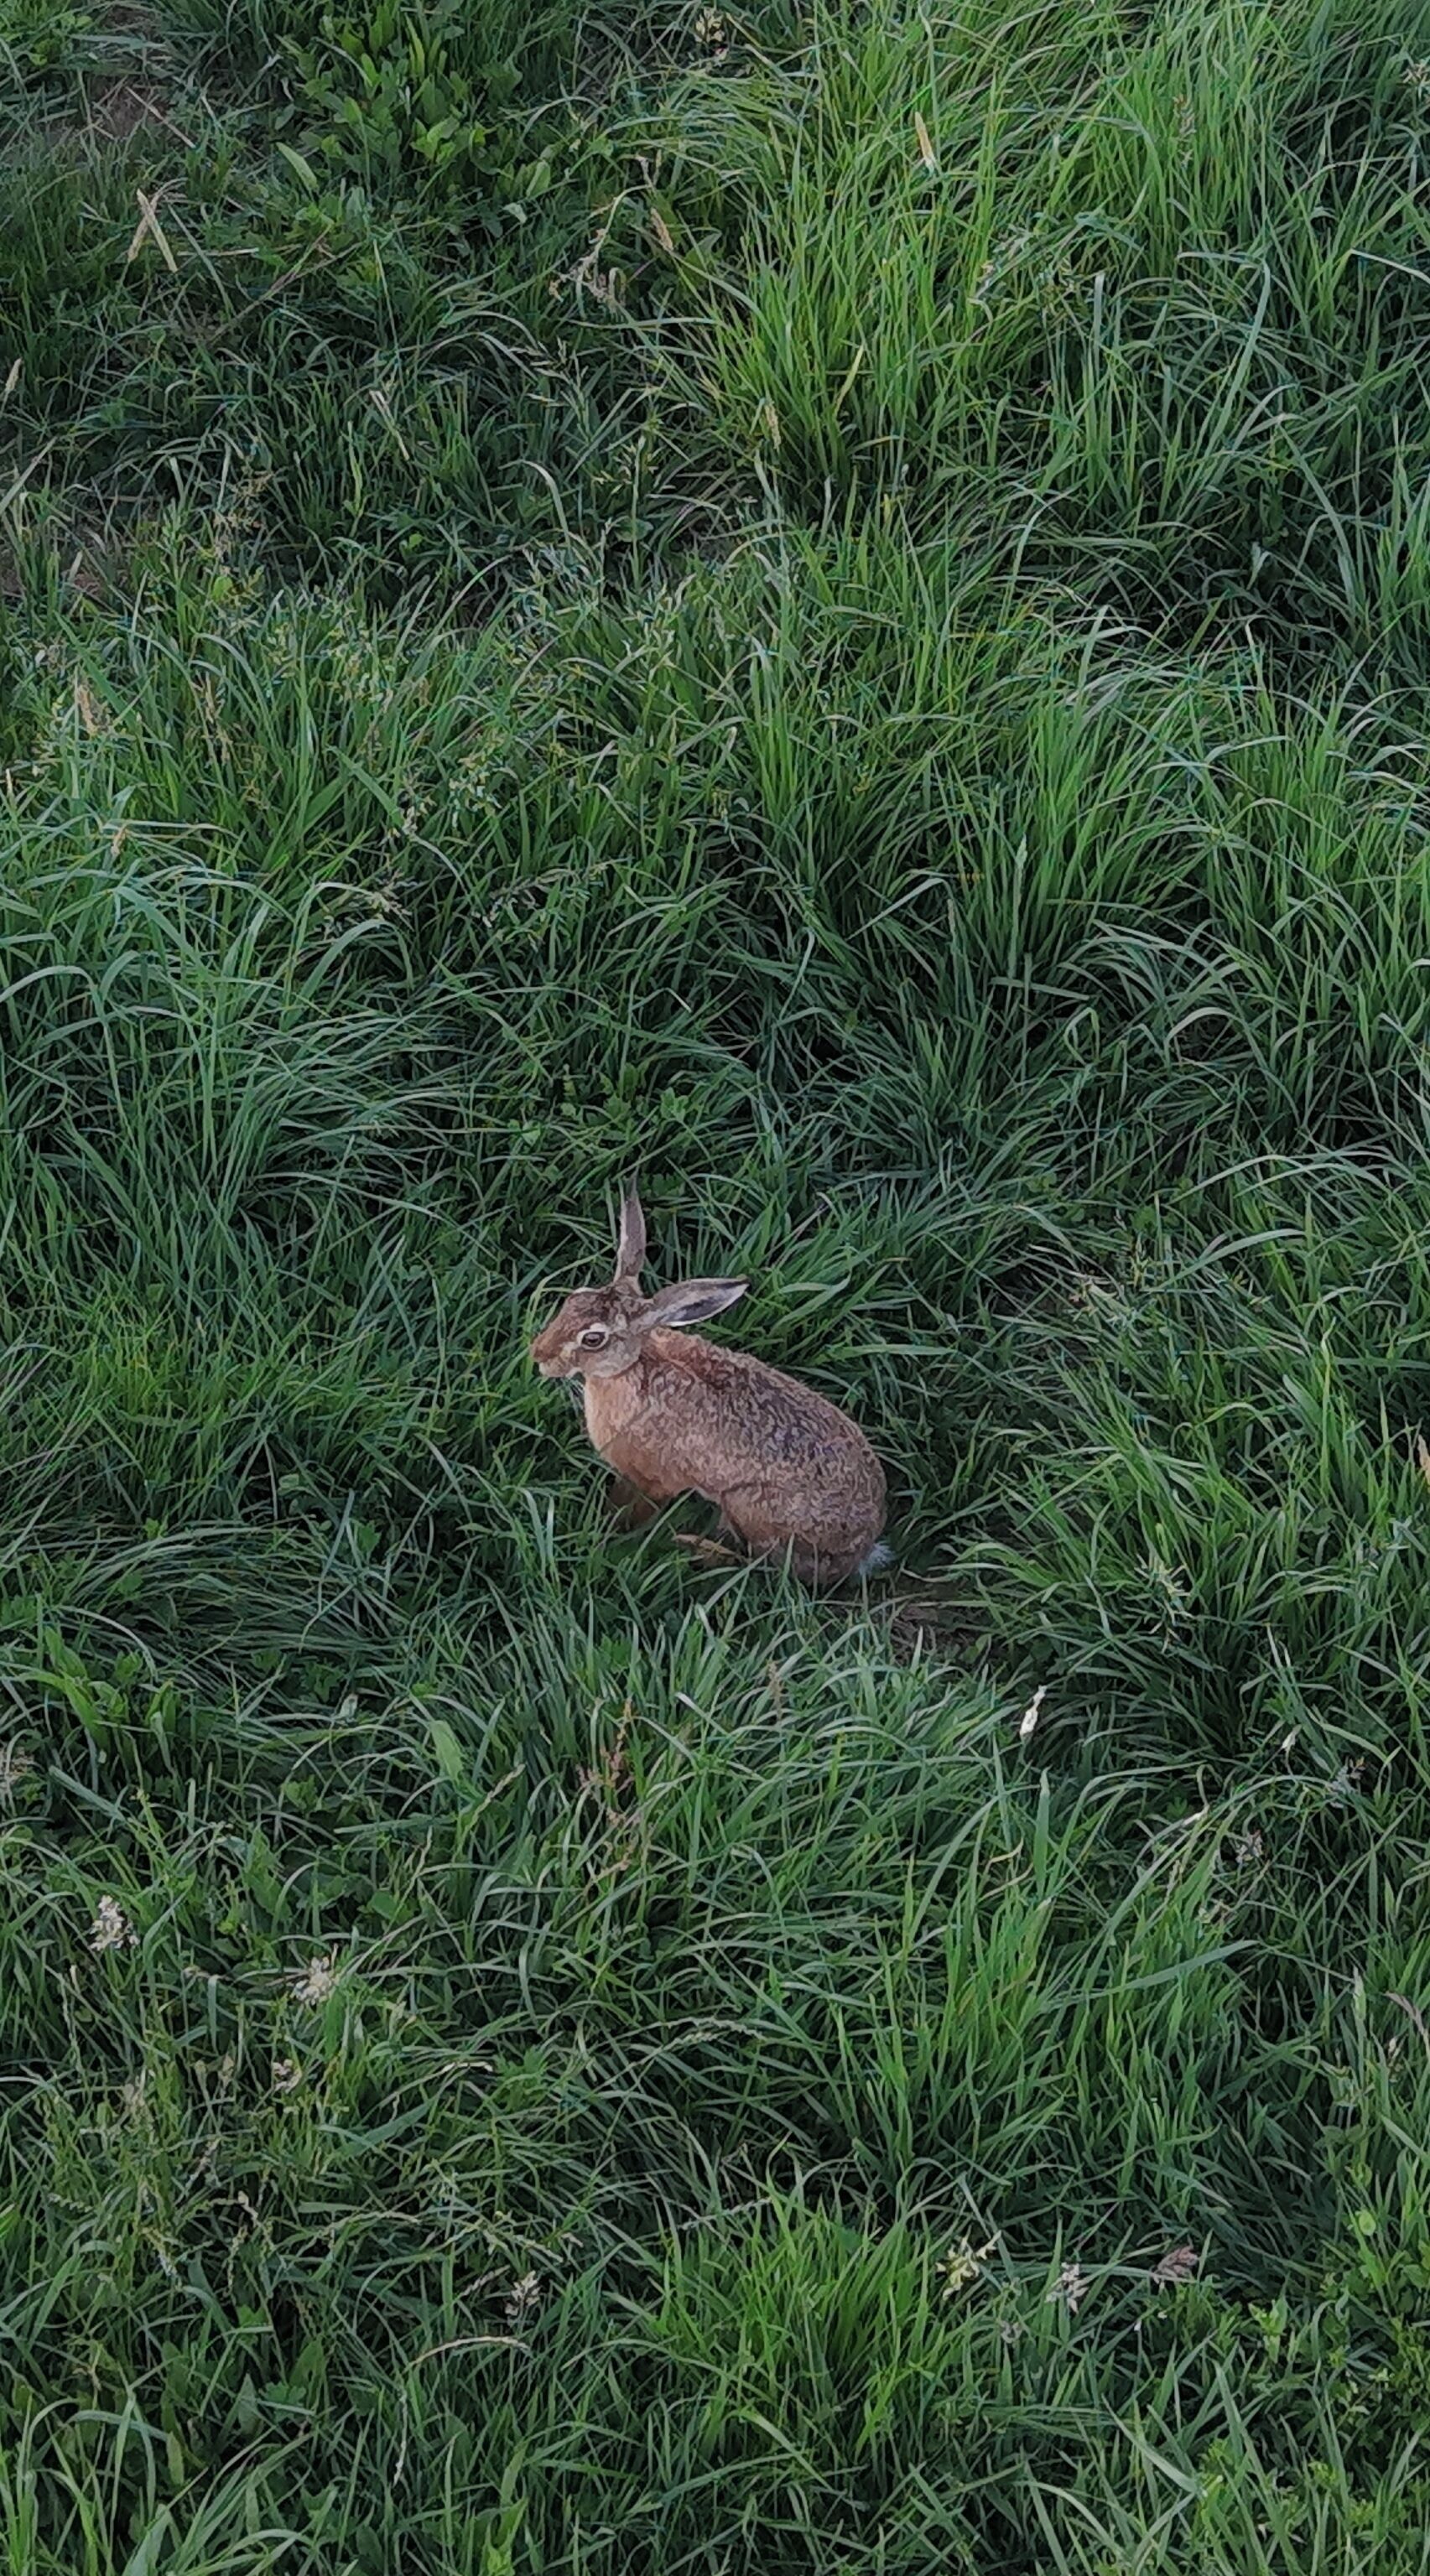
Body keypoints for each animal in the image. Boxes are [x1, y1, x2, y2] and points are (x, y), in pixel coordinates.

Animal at [530, 1183, 888, 1590]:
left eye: (593, 1339)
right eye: (574, 1297)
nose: (538, 1355)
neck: (634, 1366)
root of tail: (862, 1549)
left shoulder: (651, 1479)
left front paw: (611, 1533)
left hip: (748, 1506)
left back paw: (693, 1547)